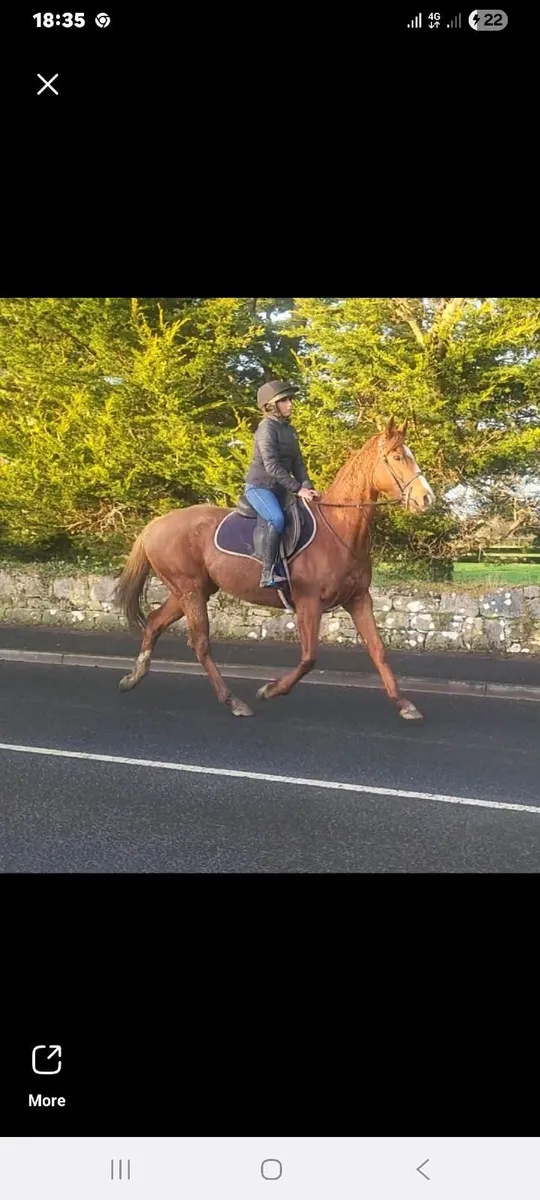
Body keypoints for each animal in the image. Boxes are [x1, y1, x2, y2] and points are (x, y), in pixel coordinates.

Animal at [114, 417, 435, 721]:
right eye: (397, 457)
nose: (426, 498)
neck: (338, 529)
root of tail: (155, 525)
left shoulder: (358, 599)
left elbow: (378, 650)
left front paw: (404, 704)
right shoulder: (309, 603)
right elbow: (309, 657)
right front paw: (269, 690)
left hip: (191, 591)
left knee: (155, 622)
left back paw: (133, 678)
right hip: (189, 590)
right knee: (200, 643)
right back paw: (234, 702)